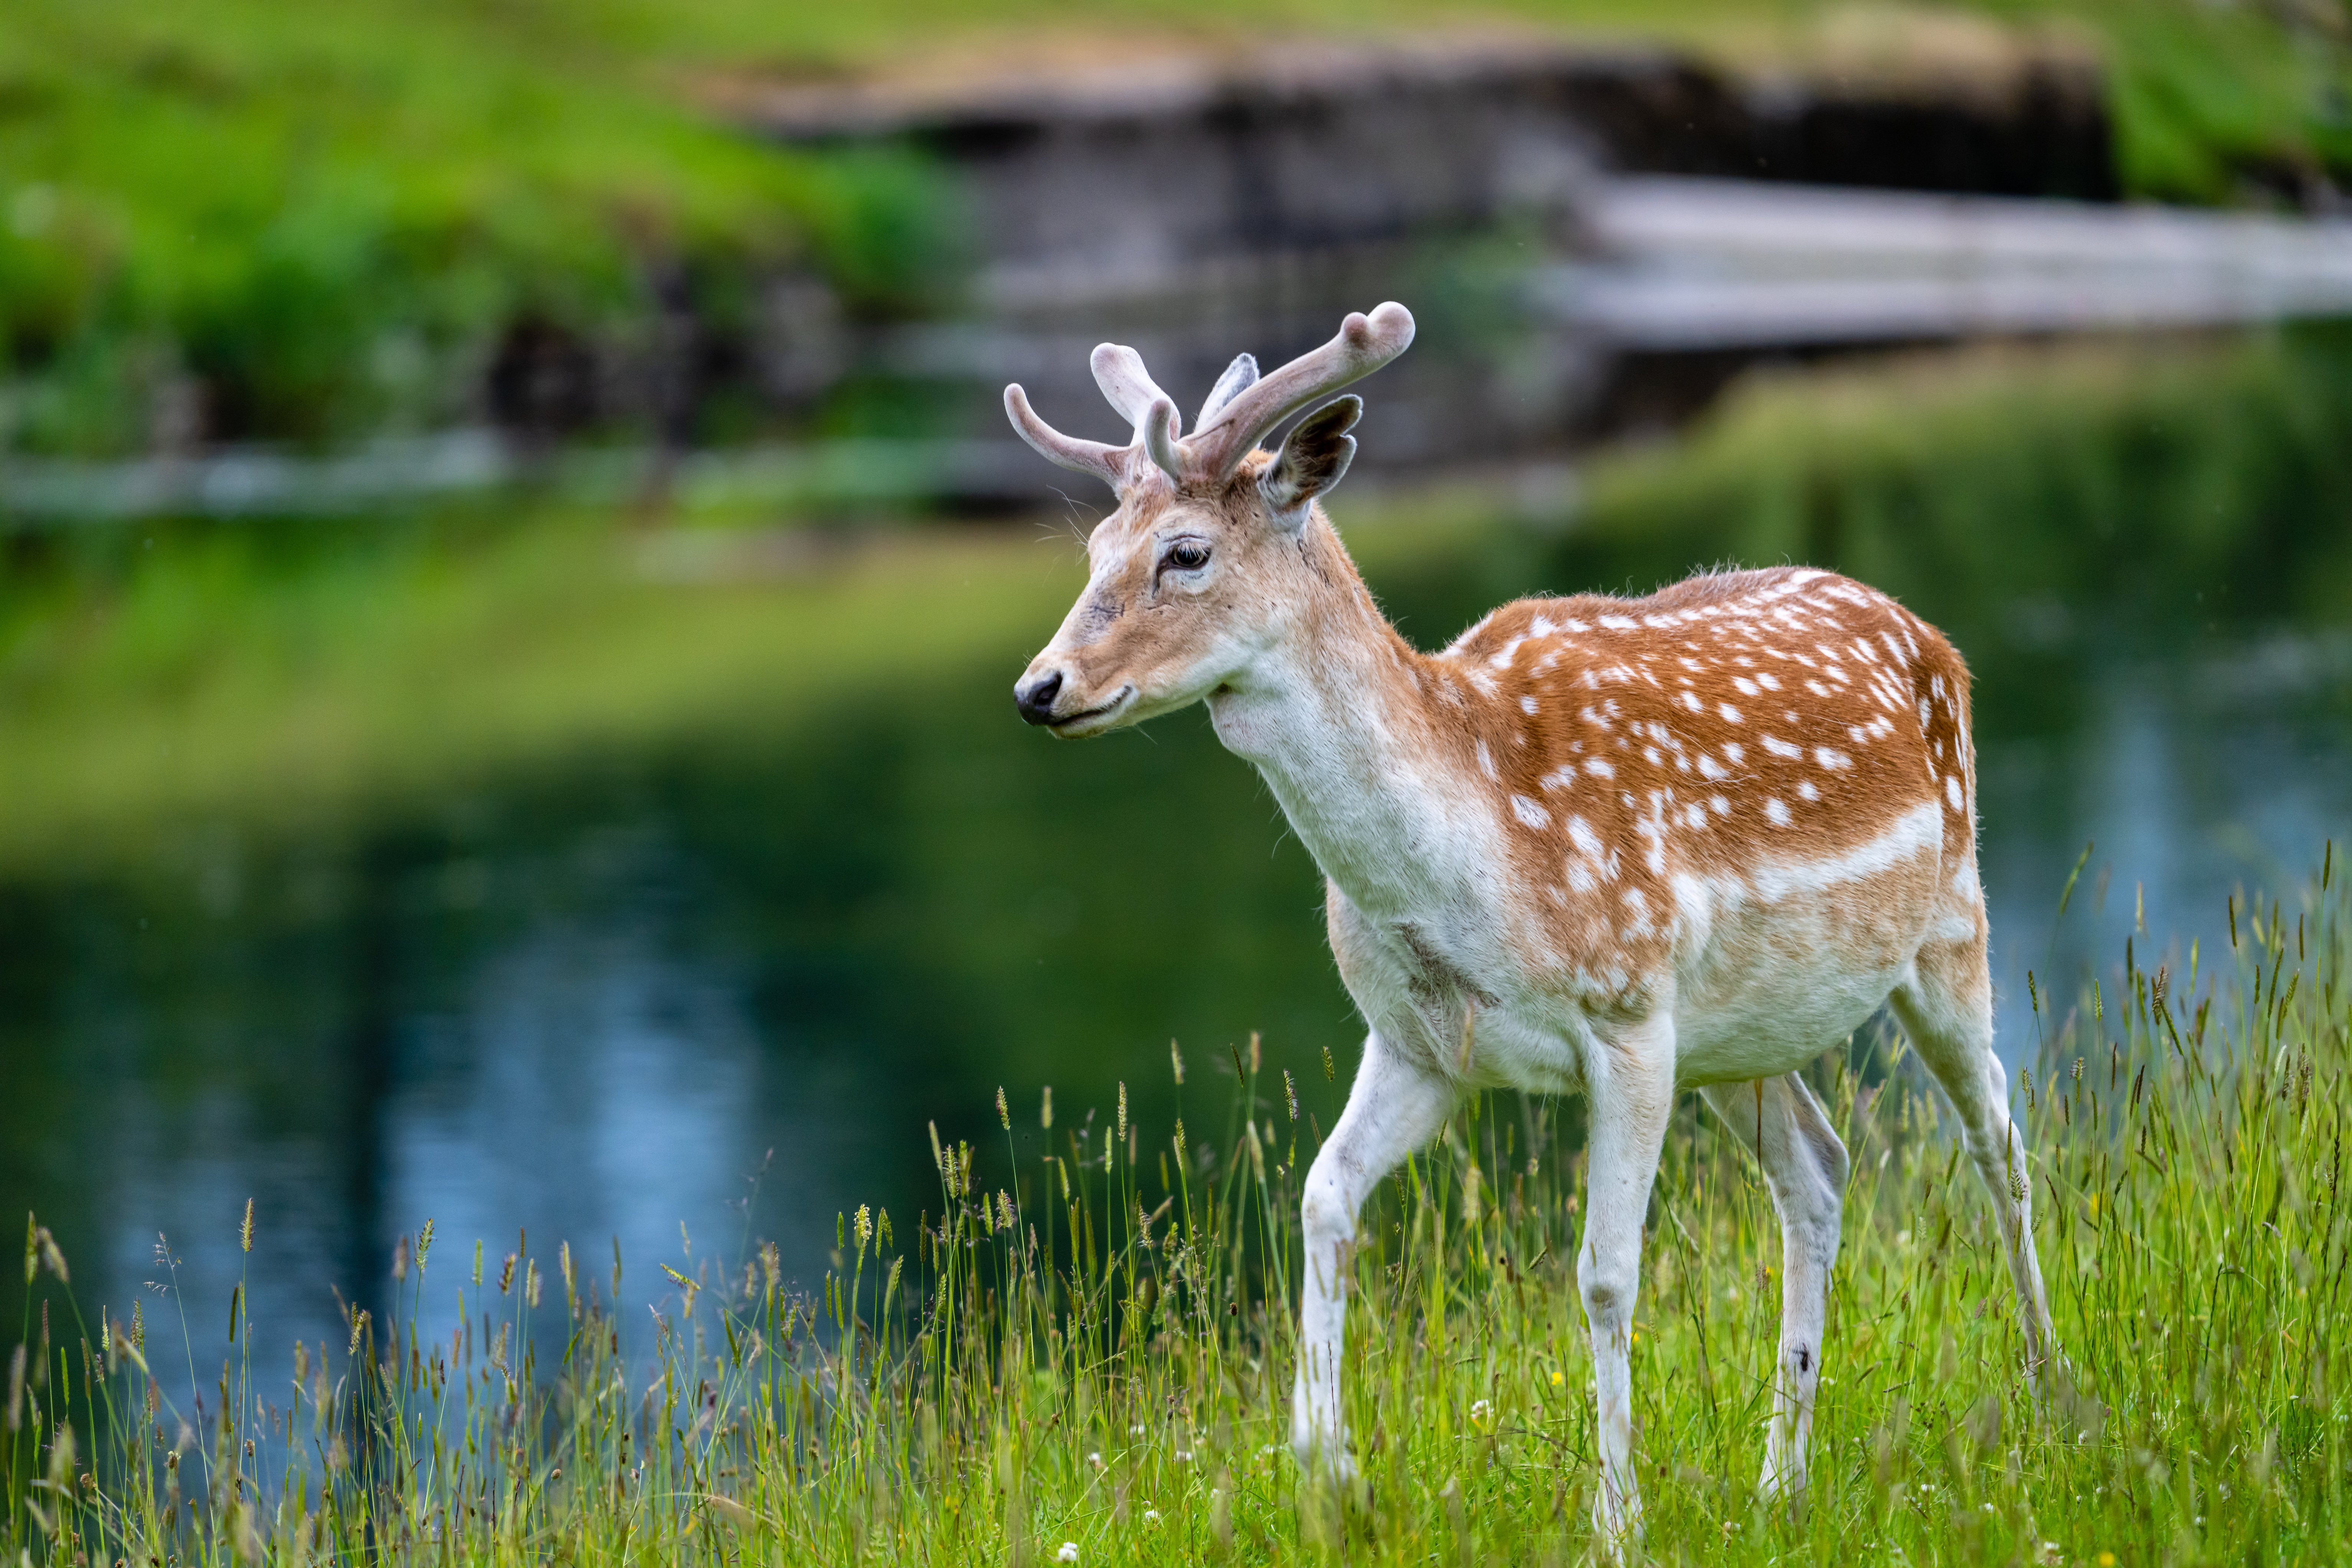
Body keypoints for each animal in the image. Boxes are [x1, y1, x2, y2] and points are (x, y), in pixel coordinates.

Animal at [1006, 303, 2060, 1542]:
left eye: (1184, 553)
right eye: (1090, 551)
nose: (1039, 687)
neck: (1473, 862)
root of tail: (1928, 634)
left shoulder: (1625, 1013)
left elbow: (1603, 1273)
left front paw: (1616, 1521)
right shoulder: (1419, 1041)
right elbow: (1321, 1195)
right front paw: (1325, 1471)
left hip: (1946, 926)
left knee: (1997, 1134)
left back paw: (2052, 1399)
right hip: (1740, 1038)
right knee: (1818, 1165)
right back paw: (1780, 1484)